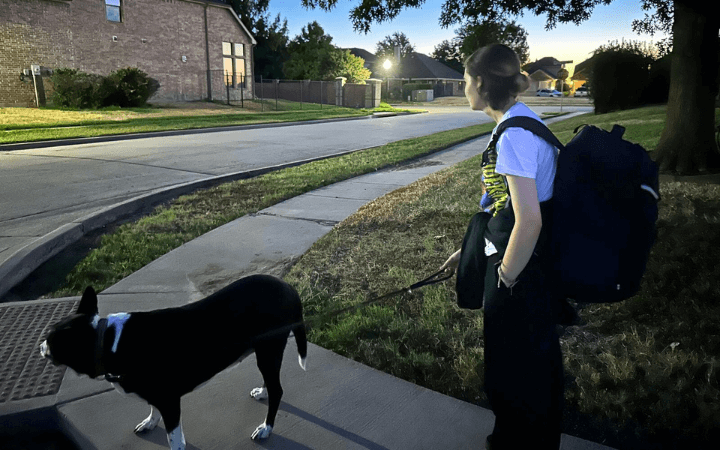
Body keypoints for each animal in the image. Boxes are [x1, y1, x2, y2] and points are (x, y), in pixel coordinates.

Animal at [40, 274, 306, 450]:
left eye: (50, 338)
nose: (40, 345)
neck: (110, 341)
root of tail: (289, 287)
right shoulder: (158, 397)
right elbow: (152, 408)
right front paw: (150, 422)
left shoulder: (170, 402)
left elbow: (174, 440)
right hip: (266, 354)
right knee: (271, 383)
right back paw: (263, 392)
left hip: (269, 350)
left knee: (278, 390)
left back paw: (266, 427)